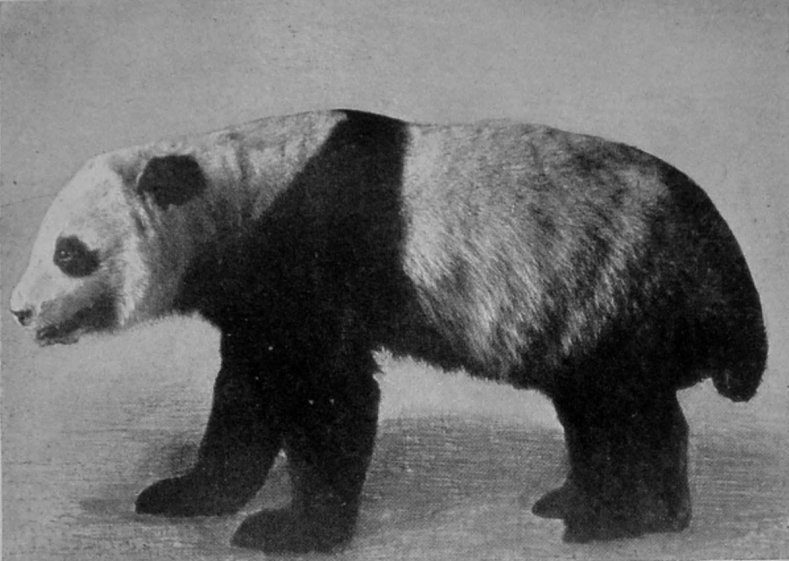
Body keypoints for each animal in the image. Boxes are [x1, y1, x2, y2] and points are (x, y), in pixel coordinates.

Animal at [10, 109, 767, 552]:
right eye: (47, 244)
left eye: (70, 253)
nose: (20, 311)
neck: (235, 190)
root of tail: (720, 245)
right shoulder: (255, 291)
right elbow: (247, 392)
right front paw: (187, 495)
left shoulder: (311, 246)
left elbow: (327, 392)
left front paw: (290, 528)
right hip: (580, 306)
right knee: (592, 406)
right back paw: (577, 499)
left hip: (616, 278)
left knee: (628, 407)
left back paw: (623, 519)